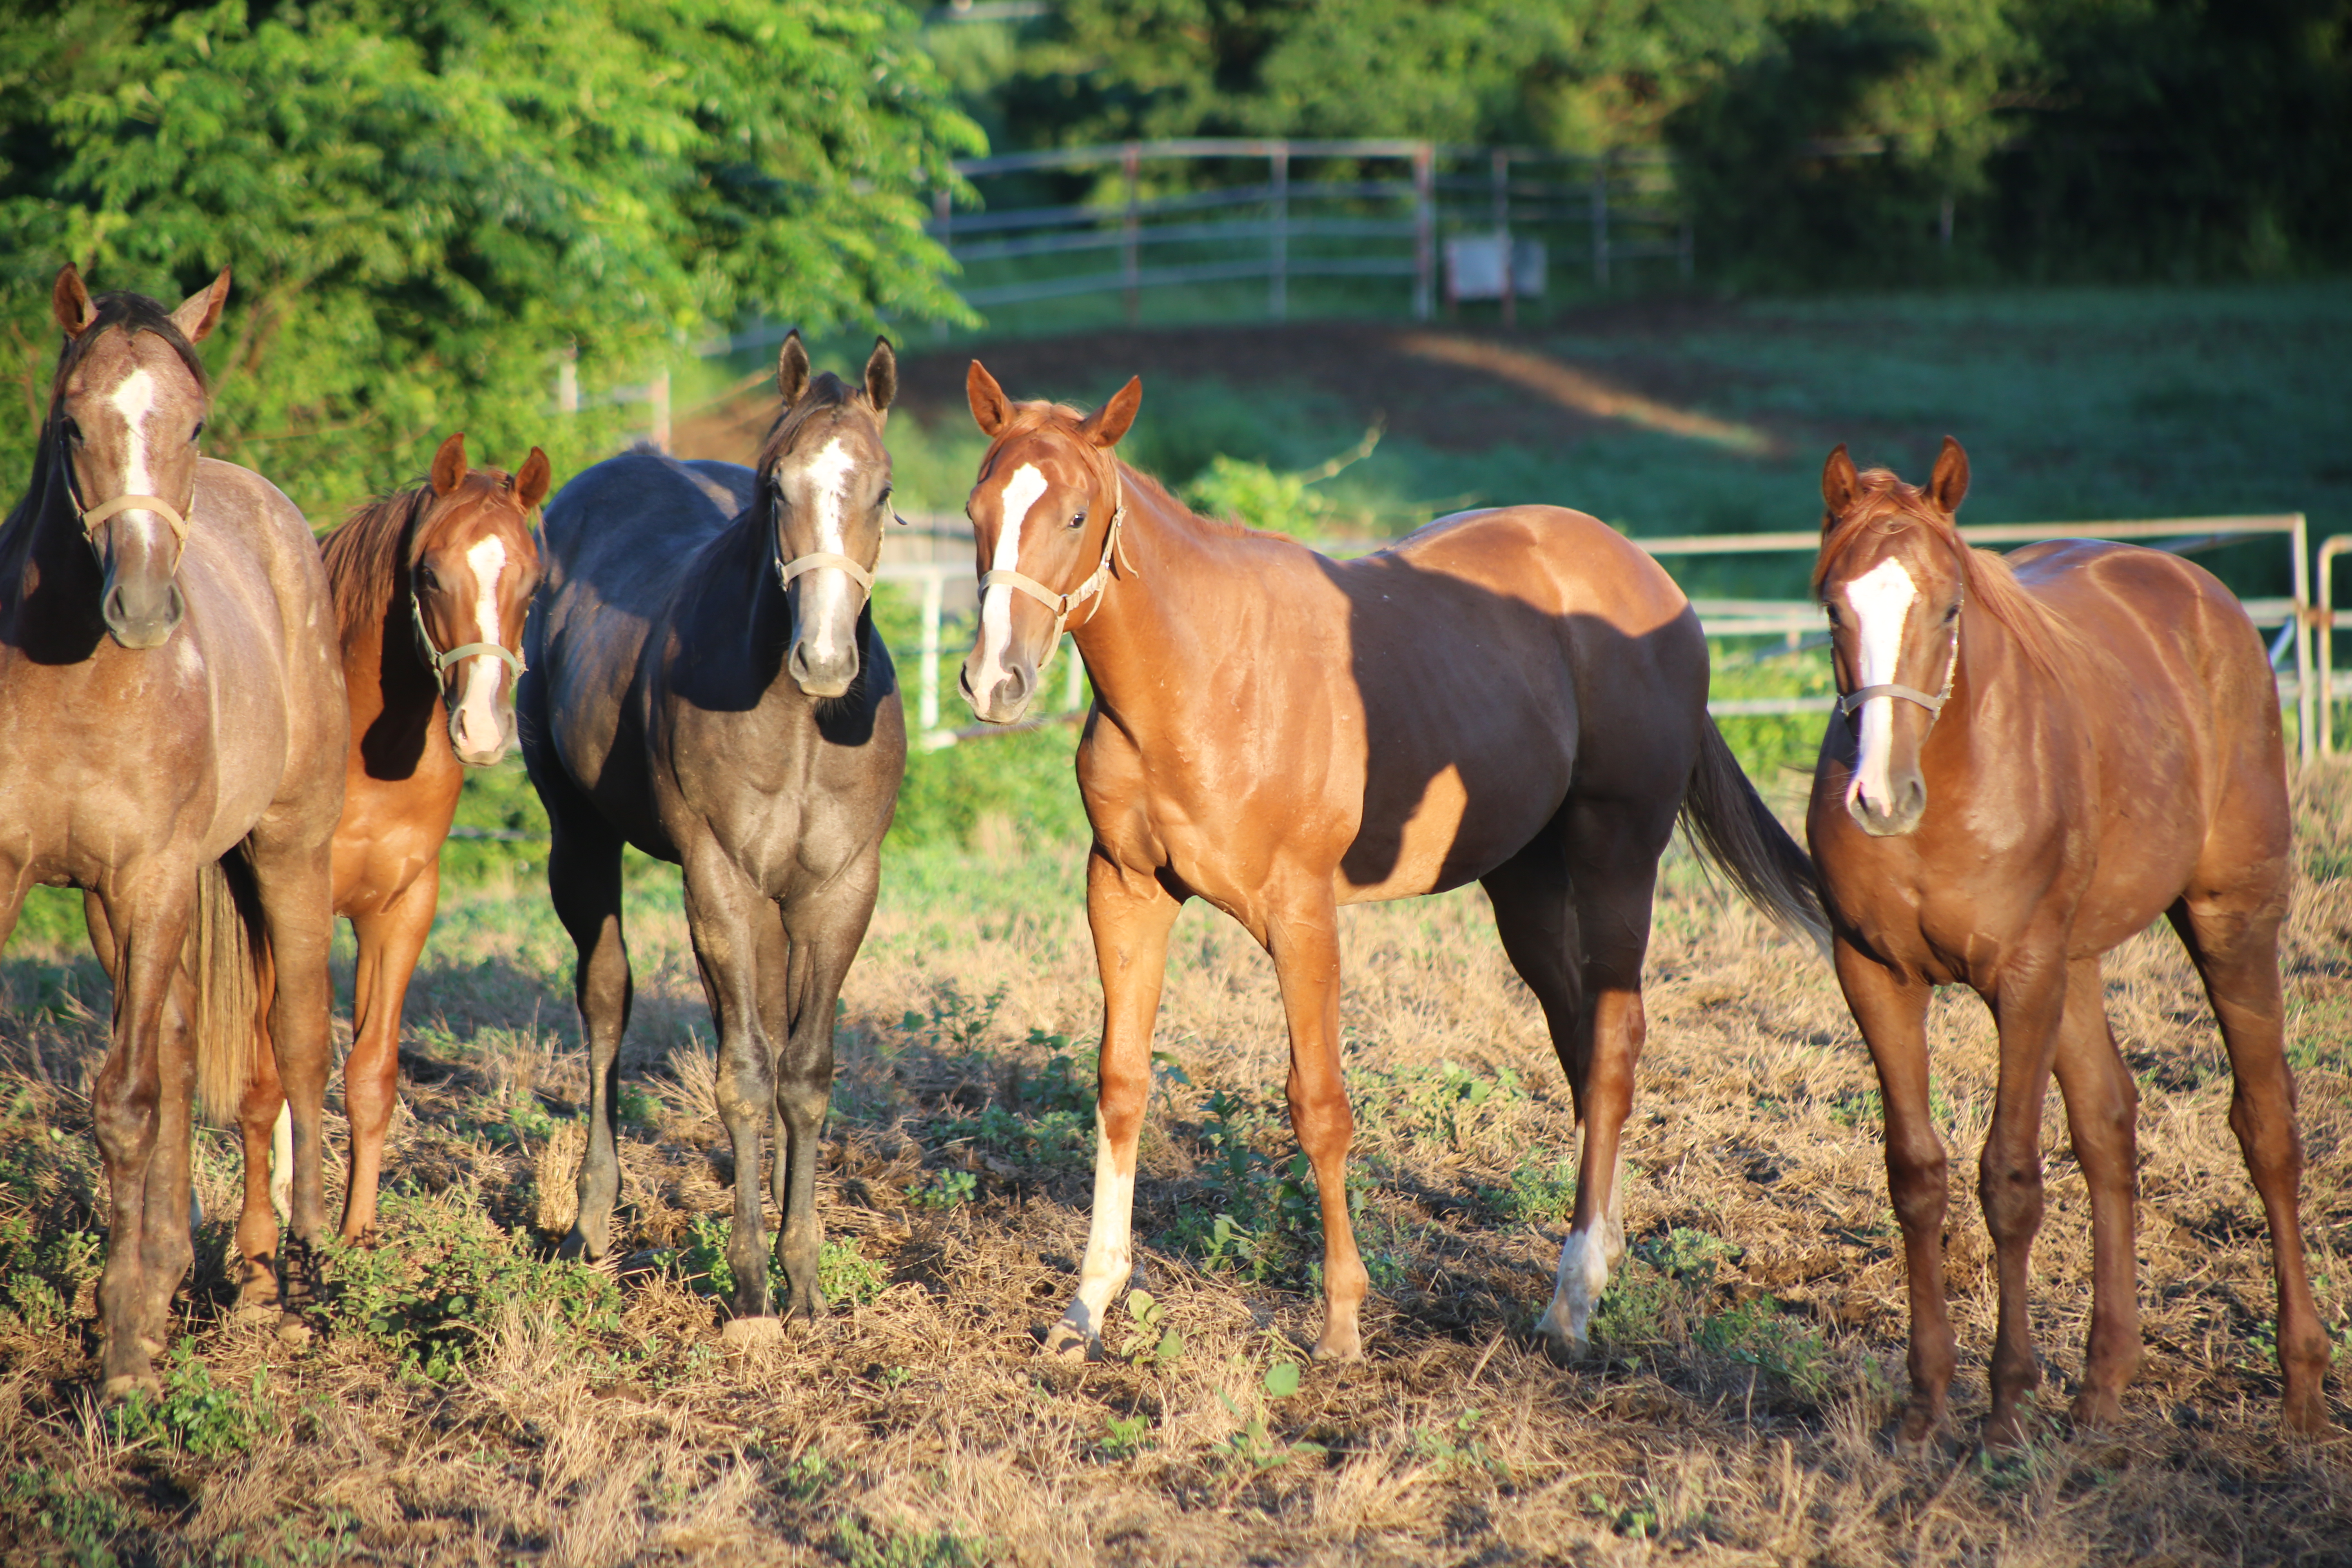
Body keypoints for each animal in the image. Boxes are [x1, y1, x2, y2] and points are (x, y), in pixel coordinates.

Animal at [0, 270, 343, 1401]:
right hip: (135, 906)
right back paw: (171, 1273)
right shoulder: (37, 879)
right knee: (188, 1048)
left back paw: (299, 1275)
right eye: (73, 422)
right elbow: (152, 1087)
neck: (77, 679)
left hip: (287, 851)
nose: (144, 606)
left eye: (192, 421)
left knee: (299, 1041)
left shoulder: (151, 878)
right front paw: (139, 1311)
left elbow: (129, 1102)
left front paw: (121, 1361)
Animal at [238, 430, 550, 1250]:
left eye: (533, 583)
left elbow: (370, 1075)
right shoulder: (280, 906)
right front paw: (269, 1248)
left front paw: (355, 1237)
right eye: (430, 575)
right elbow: (275, 1072)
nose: (482, 730)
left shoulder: (402, 909)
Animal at [519, 334, 903, 1335]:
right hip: (580, 838)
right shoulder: (718, 881)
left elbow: (803, 1074)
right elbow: (744, 1074)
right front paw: (749, 1282)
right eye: (776, 488)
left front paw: (804, 1278)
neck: (802, 722)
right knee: (606, 1002)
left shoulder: (841, 889)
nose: (825, 660)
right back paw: (591, 1222)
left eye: (882, 488)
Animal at [950, 364, 1815, 1363]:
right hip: (1523, 880)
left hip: (1617, 855)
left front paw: (1341, 1321)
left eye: (1078, 515)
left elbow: (1318, 1104)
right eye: (977, 508)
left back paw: (1571, 1302)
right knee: (1581, 1042)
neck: (1202, 677)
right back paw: (1599, 1251)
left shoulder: (1301, 914)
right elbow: (1121, 1083)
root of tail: (1654, 582)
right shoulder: (1124, 892)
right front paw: (1088, 1304)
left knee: (1613, 1042)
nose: (995, 681)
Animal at [1806, 442, 2323, 1448]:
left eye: (1950, 607)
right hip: (2081, 966)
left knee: (2267, 1127)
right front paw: (1925, 1404)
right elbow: (1916, 1174)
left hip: (2229, 919)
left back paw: (2304, 1393)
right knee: (2109, 1127)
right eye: (1833, 609)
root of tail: (2195, 587)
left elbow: (2010, 1179)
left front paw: (2007, 1405)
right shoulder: (1876, 975)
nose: (1882, 799)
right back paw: (2103, 1386)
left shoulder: (2023, 977)